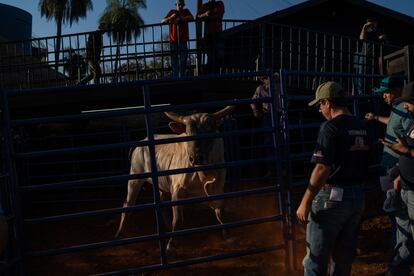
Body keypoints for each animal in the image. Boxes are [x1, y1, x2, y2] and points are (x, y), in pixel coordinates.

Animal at [115, 106, 234, 252]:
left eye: (209, 130)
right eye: (187, 133)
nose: (195, 158)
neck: (204, 173)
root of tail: (141, 143)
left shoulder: (218, 189)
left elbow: (220, 214)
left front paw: (228, 236)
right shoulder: (177, 192)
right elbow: (177, 220)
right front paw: (170, 245)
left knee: (160, 203)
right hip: (134, 180)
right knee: (127, 206)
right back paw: (119, 235)